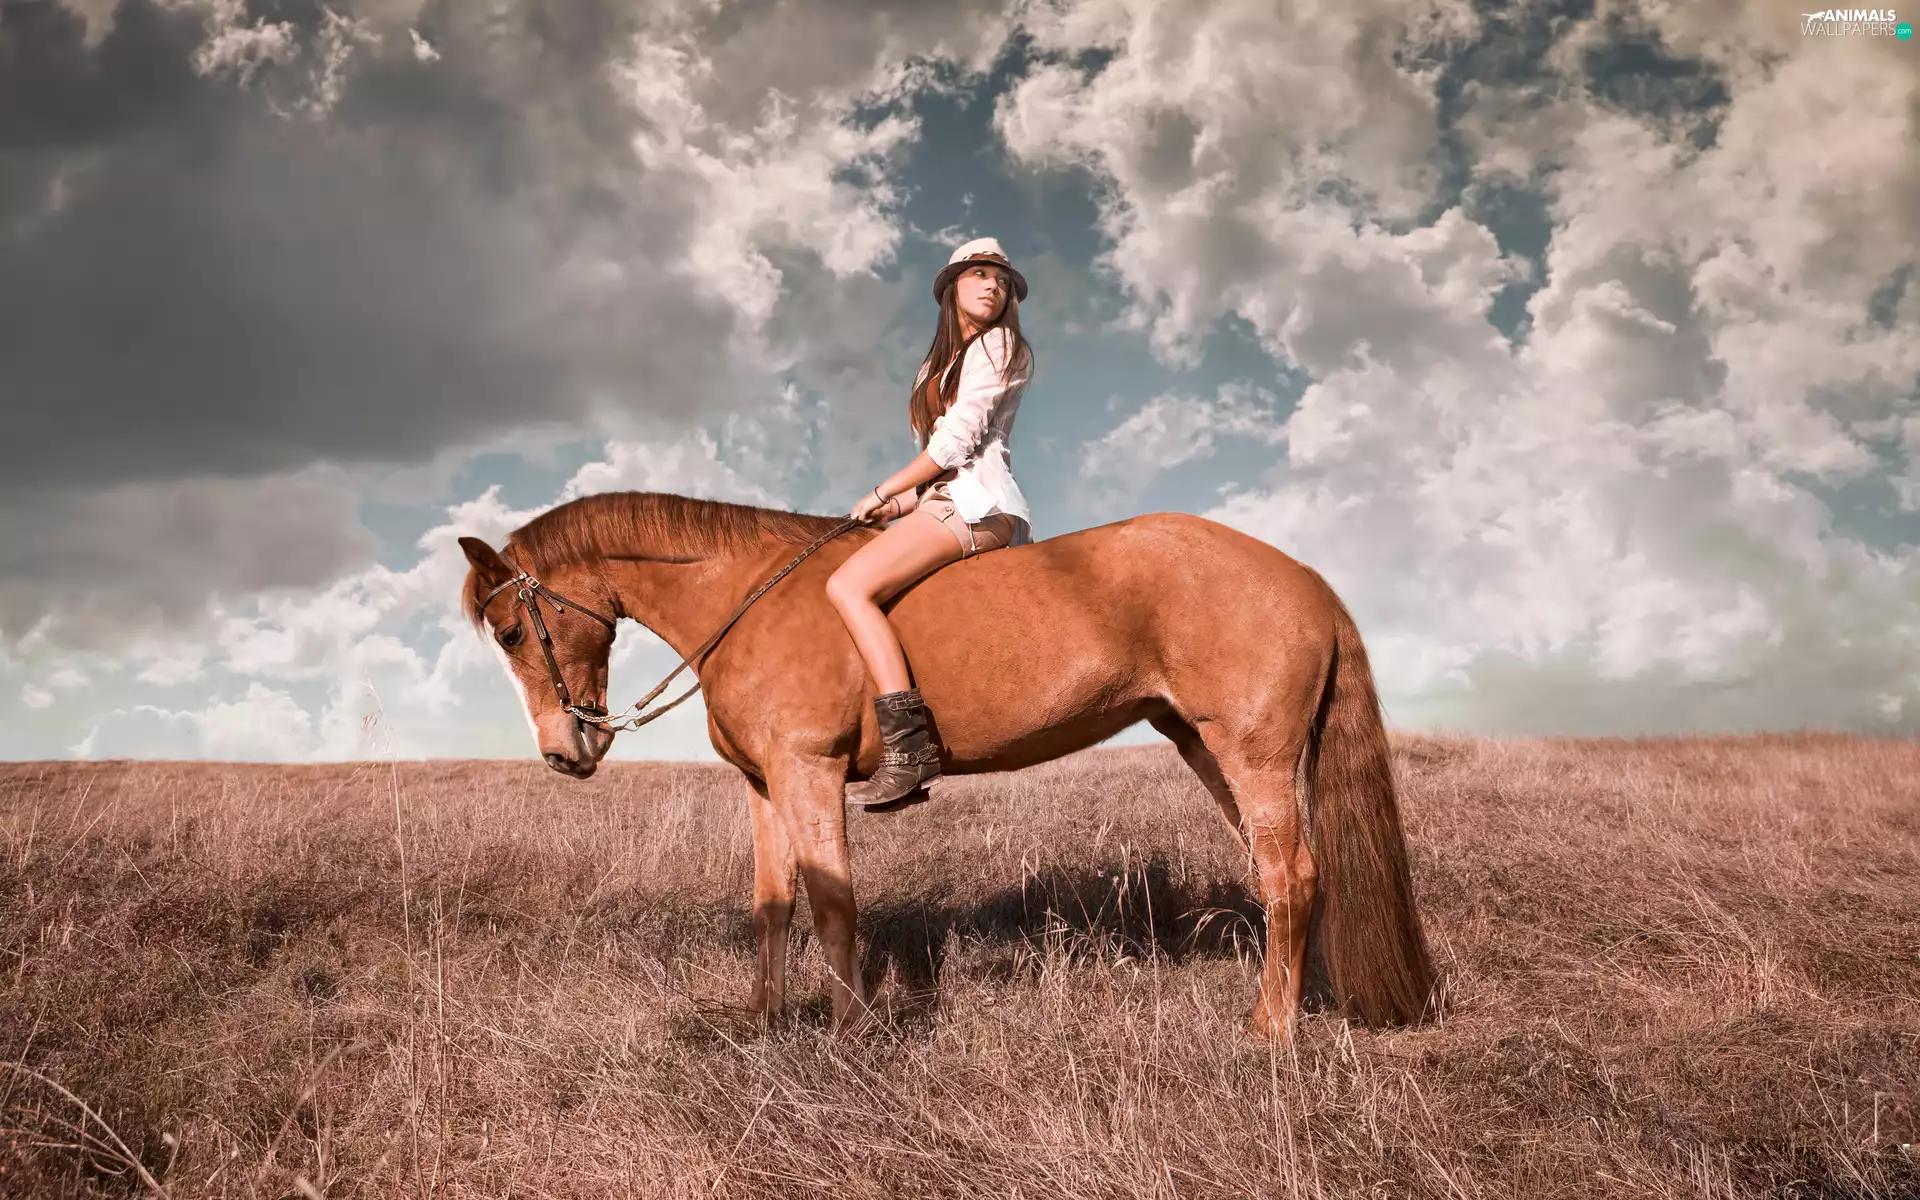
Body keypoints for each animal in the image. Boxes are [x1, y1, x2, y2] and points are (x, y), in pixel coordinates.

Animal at [457, 490, 1434, 1040]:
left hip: (1250, 752)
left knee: (1292, 875)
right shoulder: (765, 787)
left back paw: (1270, 1031)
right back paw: (1303, 1002)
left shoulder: (810, 775)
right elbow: (774, 907)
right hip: (1208, 749)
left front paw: (851, 1034)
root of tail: (1301, 575)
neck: (746, 597)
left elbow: (833, 902)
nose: (565, 751)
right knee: (1291, 876)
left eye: (509, 632)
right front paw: (764, 1023)